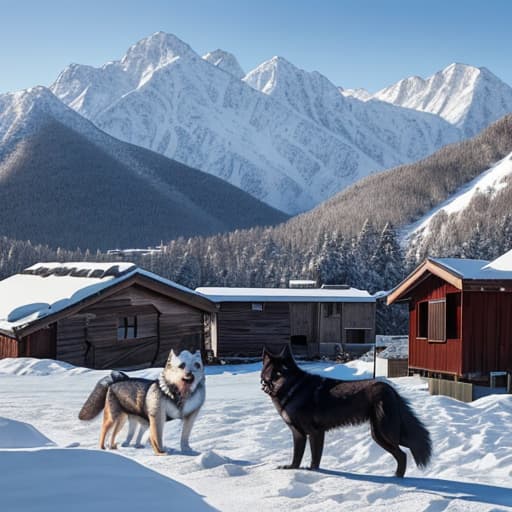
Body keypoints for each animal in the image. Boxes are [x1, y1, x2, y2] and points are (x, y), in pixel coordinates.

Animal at [260, 344, 432, 476]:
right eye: (273, 371)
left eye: (283, 369)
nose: (277, 380)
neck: (293, 390)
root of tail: (389, 389)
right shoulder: (298, 434)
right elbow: (297, 456)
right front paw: (291, 469)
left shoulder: (315, 433)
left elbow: (315, 459)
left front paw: (312, 472)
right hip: (378, 434)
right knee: (402, 455)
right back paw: (396, 478)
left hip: (386, 432)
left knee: (403, 453)